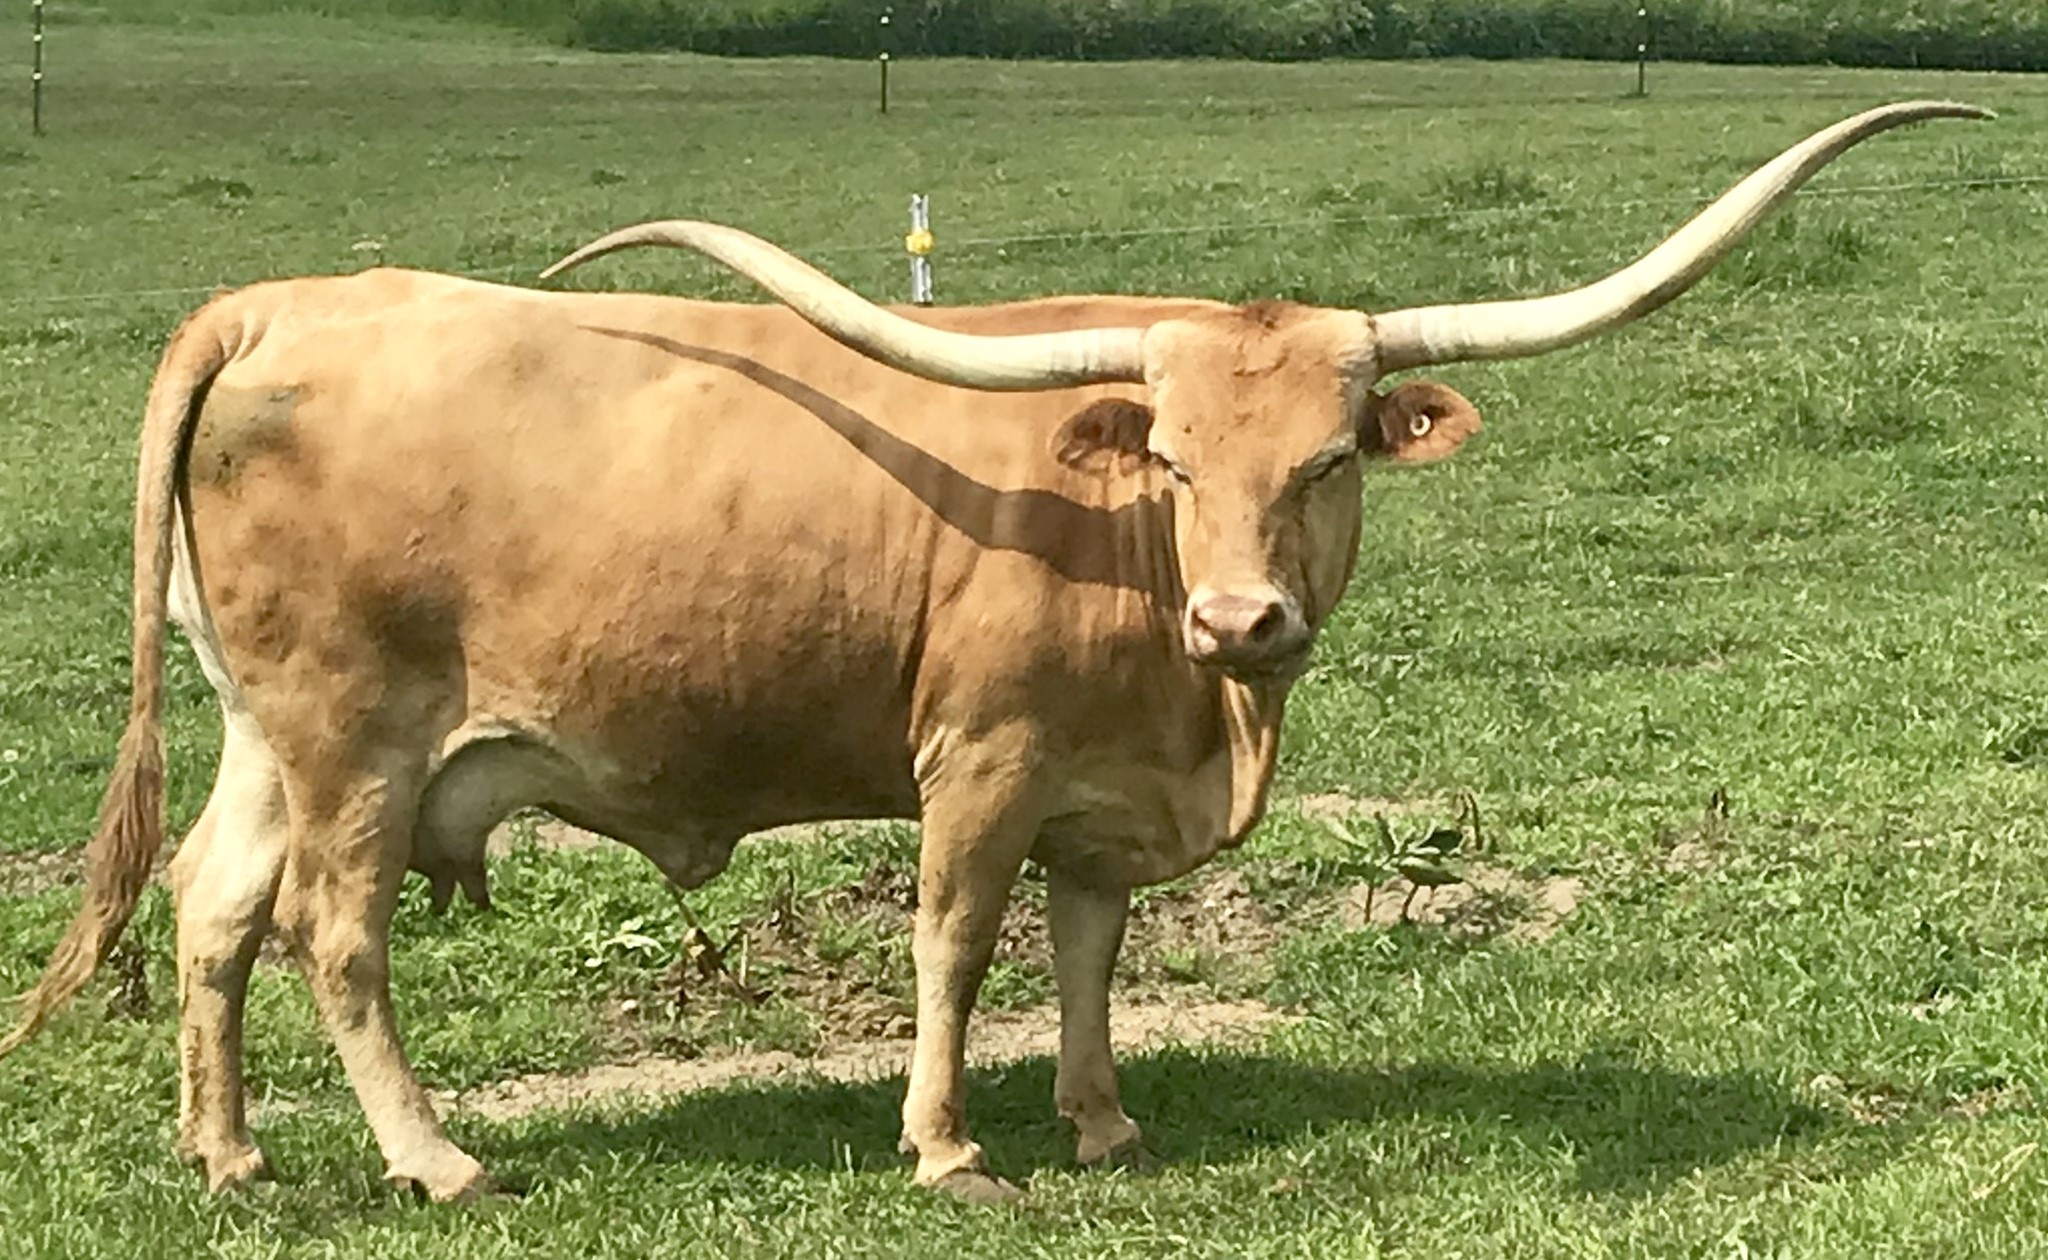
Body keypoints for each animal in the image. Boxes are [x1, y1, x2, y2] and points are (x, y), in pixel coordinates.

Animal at [0, 101, 1986, 1204]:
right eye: (1171, 459)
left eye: (1329, 460)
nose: (1240, 616)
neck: (1194, 695)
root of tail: (280, 305)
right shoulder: (981, 759)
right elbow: (957, 942)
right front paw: (951, 1144)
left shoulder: (1101, 794)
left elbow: (1090, 953)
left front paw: (1103, 1126)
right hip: (357, 740)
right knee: (333, 936)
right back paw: (435, 1159)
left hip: (269, 735)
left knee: (210, 914)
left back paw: (230, 1154)